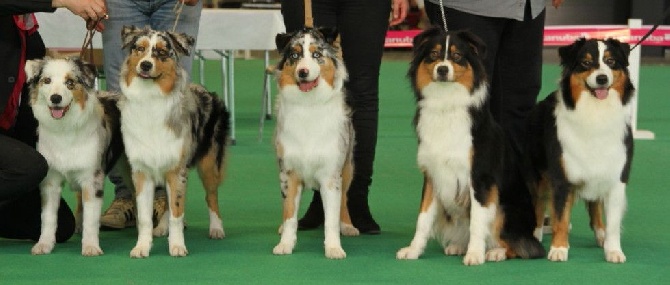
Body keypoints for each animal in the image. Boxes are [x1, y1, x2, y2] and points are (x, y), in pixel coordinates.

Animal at [25, 56, 130, 255]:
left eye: (70, 83)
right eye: (47, 81)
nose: (55, 98)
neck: (65, 130)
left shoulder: (92, 179)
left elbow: (91, 218)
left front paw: (91, 246)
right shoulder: (50, 180)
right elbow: (48, 217)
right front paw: (44, 244)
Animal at [121, 26, 234, 258]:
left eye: (162, 52)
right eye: (140, 49)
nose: (145, 65)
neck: (149, 98)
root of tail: (207, 91)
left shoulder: (176, 169)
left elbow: (177, 211)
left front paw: (177, 246)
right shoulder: (142, 171)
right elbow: (145, 217)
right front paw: (141, 247)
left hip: (209, 163)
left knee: (211, 197)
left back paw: (216, 228)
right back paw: (161, 227)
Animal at [270, 27, 360, 258]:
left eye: (317, 54)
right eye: (295, 55)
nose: (302, 72)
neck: (308, 106)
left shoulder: (331, 174)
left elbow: (331, 219)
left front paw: (334, 248)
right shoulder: (289, 173)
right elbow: (289, 214)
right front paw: (285, 244)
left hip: (348, 167)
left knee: (344, 200)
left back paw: (348, 226)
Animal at [400, 27, 544, 266]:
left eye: (457, 56)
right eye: (434, 54)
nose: (442, 69)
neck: (446, 103)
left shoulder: (480, 177)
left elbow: (478, 220)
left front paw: (475, 254)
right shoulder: (432, 175)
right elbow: (423, 218)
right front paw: (413, 250)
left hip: (505, 208)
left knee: (522, 246)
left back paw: (495, 252)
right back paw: (459, 246)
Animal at [528, 37, 636, 262]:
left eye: (611, 61)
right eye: (586, 63)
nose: (602, 78)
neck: (596, 112)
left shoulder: (616, 176)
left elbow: (613, 222)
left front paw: (614, 251)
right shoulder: (562, 177)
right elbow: (561, 216)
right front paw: (559, 249)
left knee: (595, 206)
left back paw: (601, 234)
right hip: (539, 174)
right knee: (539, 203)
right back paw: (536, 234)